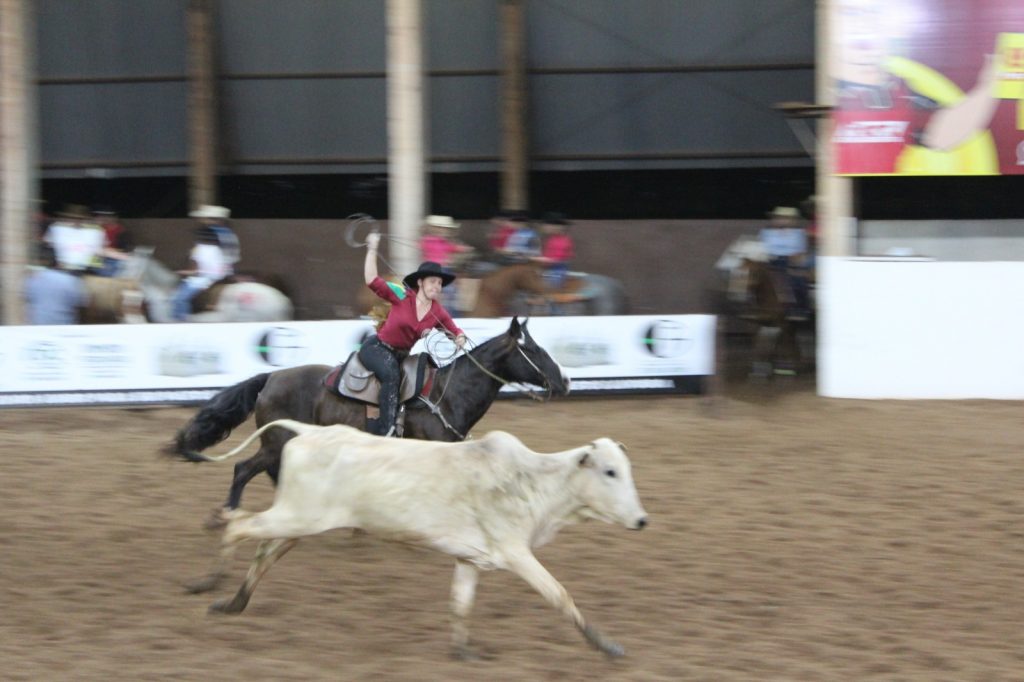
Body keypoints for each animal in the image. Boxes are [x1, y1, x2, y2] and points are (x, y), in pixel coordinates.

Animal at [166, 316, 570, 592]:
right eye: (533, 350)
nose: (564, 381)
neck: (448, 393)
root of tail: (271, 378)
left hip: (282, 445)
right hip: (275, 442)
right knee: (242, 469)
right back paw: (229, 516)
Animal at [201, 419, 648, 659]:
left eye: (626, 469)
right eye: (609, 471)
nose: (642, 520)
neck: (534, 481)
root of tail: (309, 431)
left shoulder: (471, 559)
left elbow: (460, 604)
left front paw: (463, 651)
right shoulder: (515, 552)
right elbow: (560, 595)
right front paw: (607, 645)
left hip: (299, 522)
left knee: (263, 550)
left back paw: (233, 602)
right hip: (298, 516)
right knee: (239, 526)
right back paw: (210, 582)